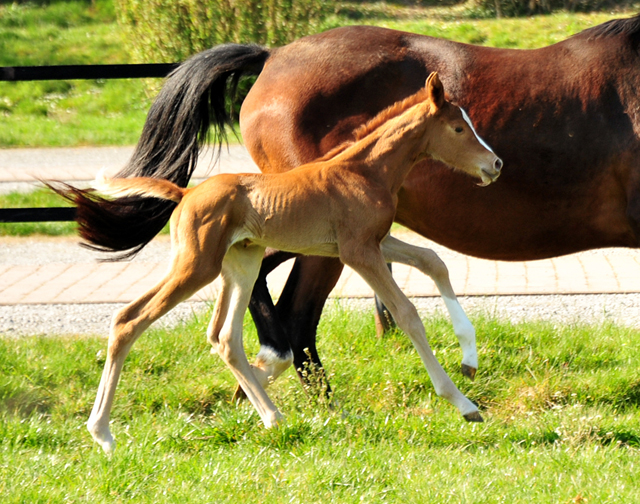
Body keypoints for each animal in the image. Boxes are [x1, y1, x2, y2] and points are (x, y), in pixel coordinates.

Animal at [58, 15, 640, 392]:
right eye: (458, 125)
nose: (496, 165)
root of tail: (272, 57)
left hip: (291, 233)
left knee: (265, 290)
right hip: (311, 238)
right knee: (292, 312)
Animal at [79, 74, 500, 452]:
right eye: (459, 128)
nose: (495, 164)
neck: (365, 171)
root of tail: (185, 193)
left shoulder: (376, 242)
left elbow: (434, 261)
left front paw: (469, 358)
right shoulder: (358, 252)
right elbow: (408, 313)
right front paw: (463, 403)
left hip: (241, 262)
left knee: (225, 337)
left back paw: (273, 417)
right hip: (196, 265)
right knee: (129, 319)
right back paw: (102, 432)